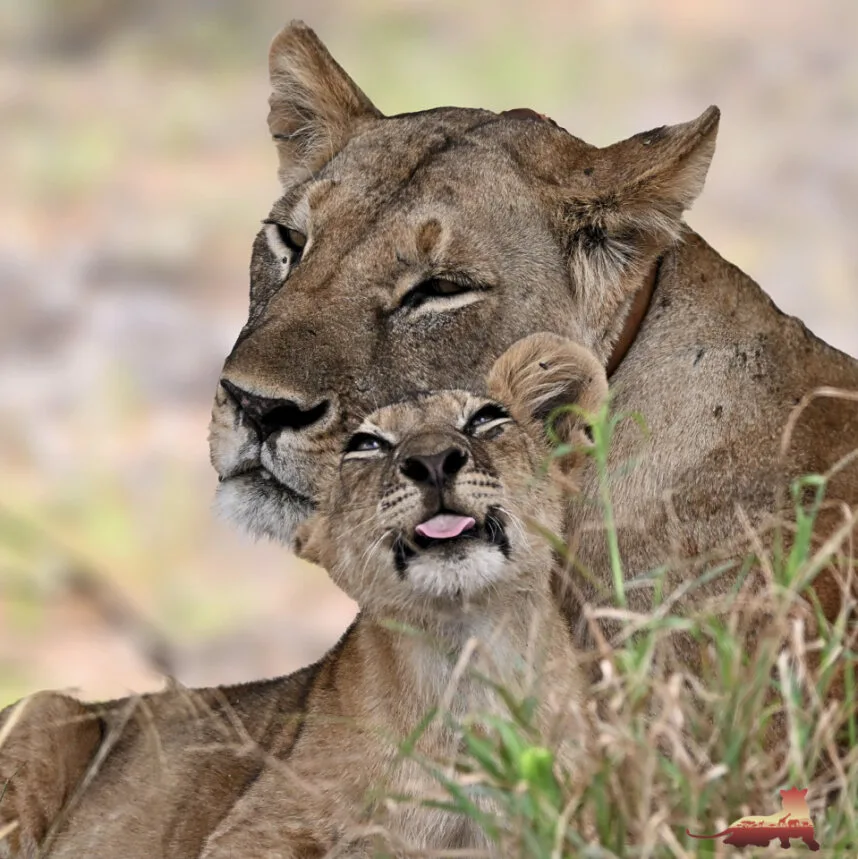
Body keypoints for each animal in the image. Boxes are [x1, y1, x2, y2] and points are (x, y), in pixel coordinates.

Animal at [1, 334, 606, 858]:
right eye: (367, 444)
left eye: (485, 419)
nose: (433, 461)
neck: (466, 656)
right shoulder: (251, 829)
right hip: (47, 706)